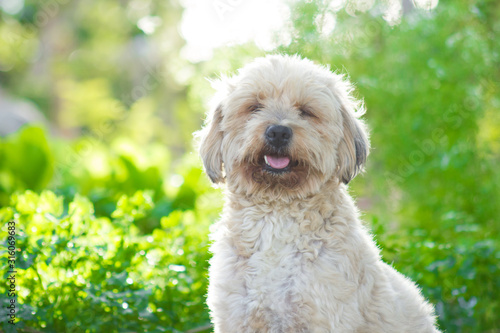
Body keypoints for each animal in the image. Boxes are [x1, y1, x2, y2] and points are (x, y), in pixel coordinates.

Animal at [197, 55, 440, 332]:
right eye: (254, 107)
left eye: (305, 111)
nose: (278, 132)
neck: (276, 214)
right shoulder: (238, 318)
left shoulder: (326, 314)